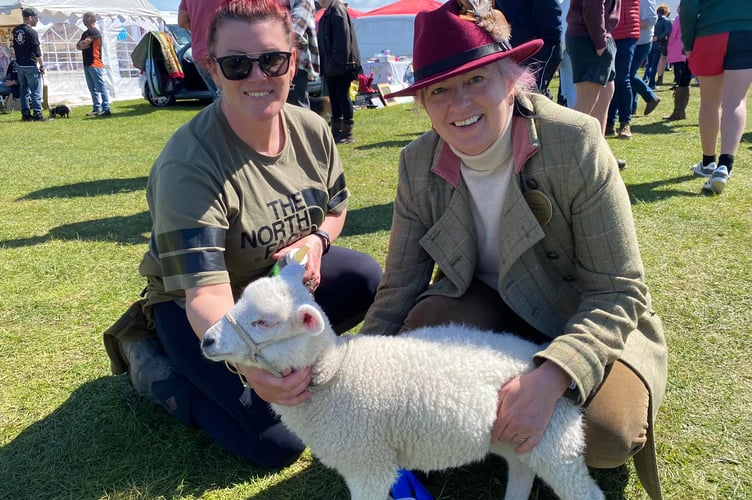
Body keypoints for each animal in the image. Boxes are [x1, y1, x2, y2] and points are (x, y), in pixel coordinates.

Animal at [201, 266, 604, 500]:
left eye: (264, 322)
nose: (206, 340)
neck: (336, 376)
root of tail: (540, 356)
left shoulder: (368, 464)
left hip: (554, 442)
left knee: (583, 492)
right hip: (516, 436)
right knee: (521, 472)